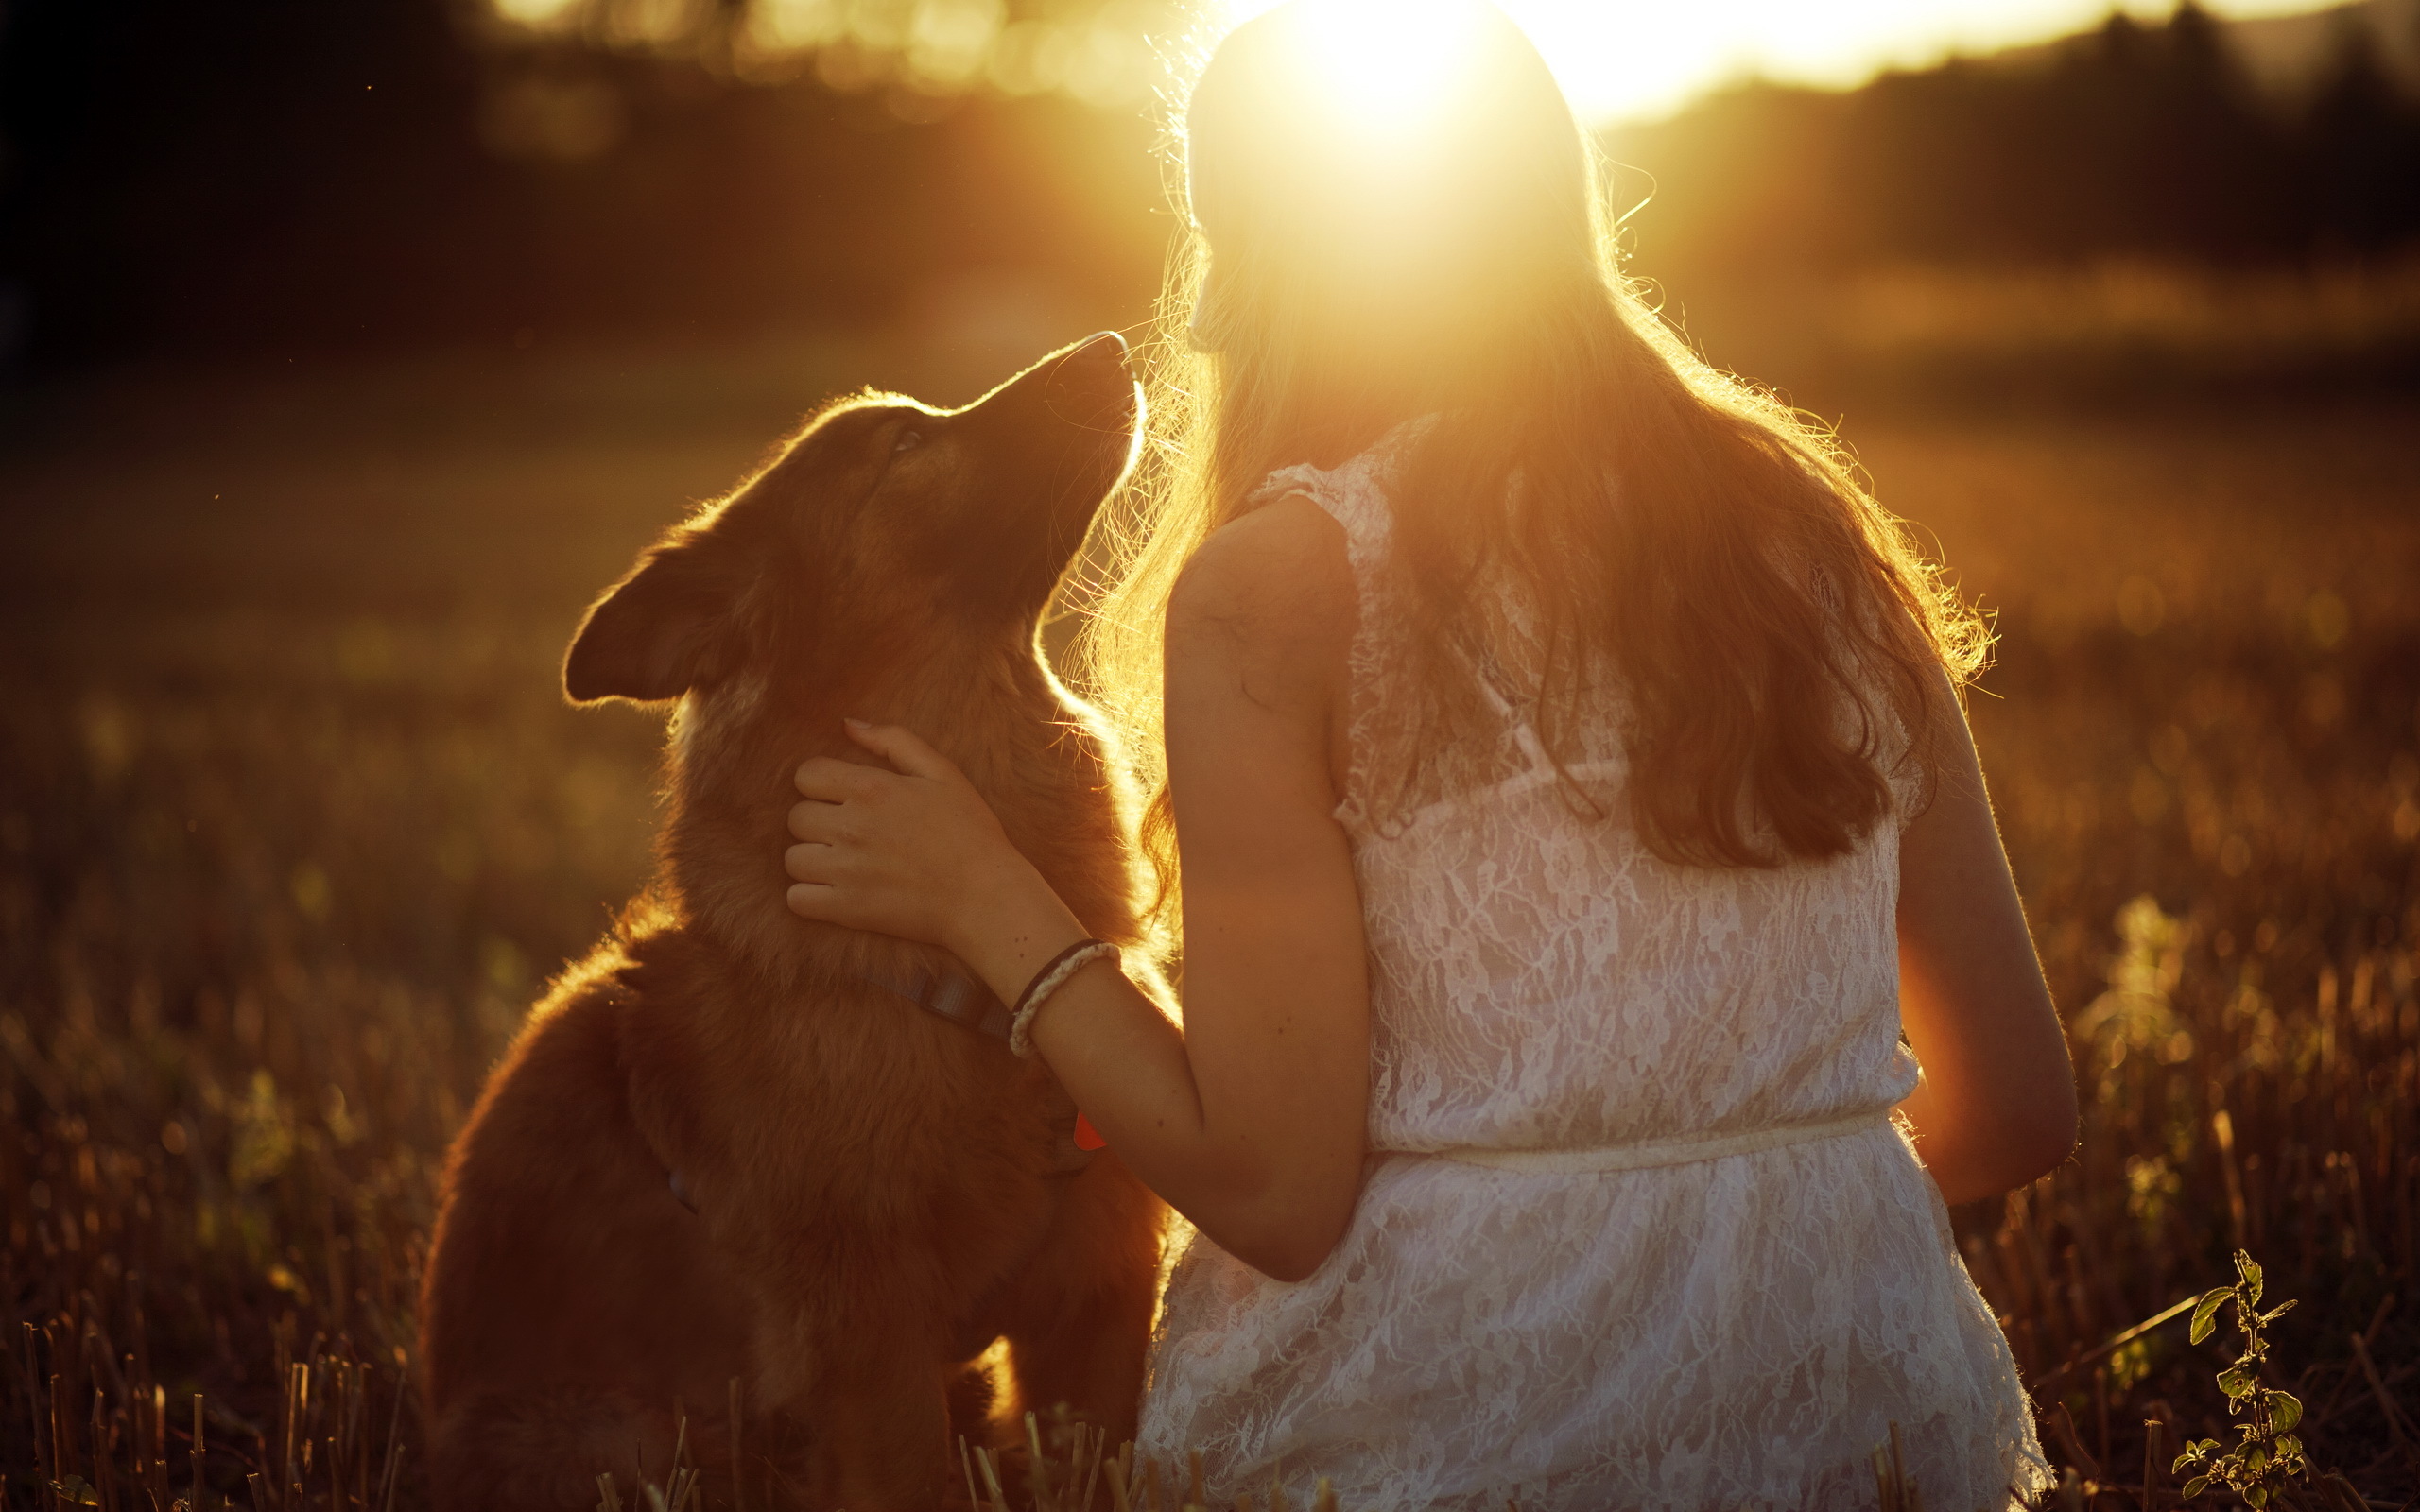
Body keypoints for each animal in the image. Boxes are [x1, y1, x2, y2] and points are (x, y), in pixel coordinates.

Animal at [424, 335, 1171, 1500]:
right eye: (903, 442)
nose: (1112, 344)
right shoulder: (867, 1337)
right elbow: (913, 1485)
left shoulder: (1096, 1296)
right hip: (617, 1436)